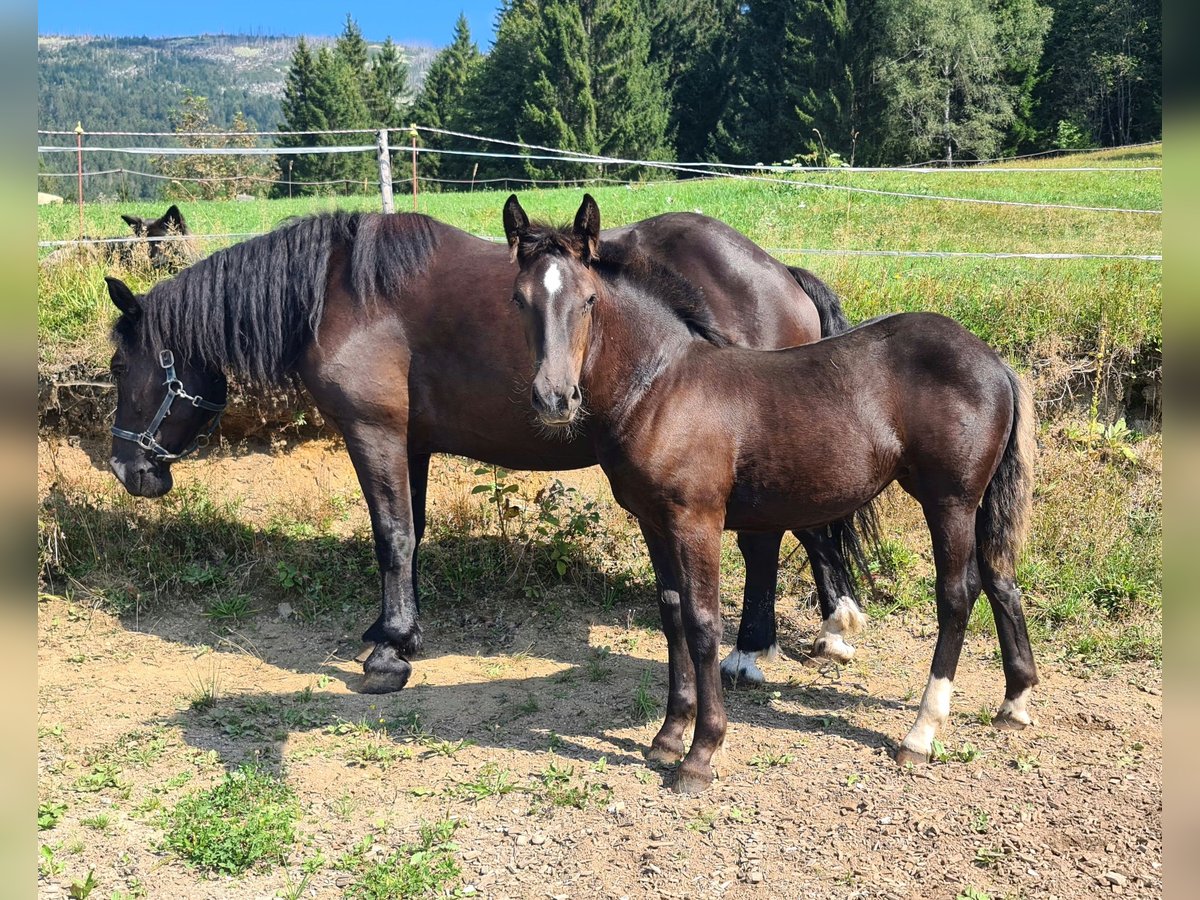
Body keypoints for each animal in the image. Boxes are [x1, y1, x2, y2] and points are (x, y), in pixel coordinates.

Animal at [501, 194, 1036, 792]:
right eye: (520, 299)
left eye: (589, 300)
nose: (555, 399)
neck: (662, 386)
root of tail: (995, 361)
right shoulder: (652, 520)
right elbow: (671, 616)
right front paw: (668, 737)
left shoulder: (697, 520)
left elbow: (702, 623)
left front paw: (700, 753)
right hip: (977, 500)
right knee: (999, 576)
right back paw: (1015, 702)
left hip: (950, 500)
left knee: (958, 593)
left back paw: (920, 735)